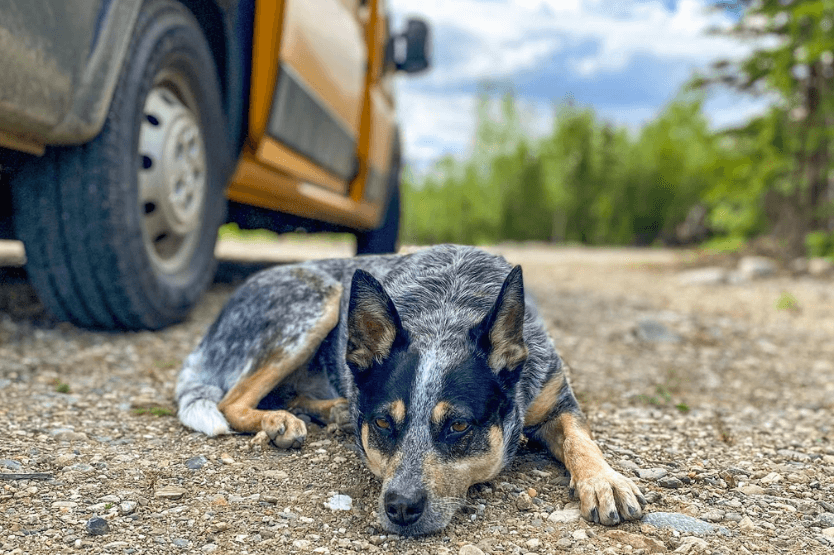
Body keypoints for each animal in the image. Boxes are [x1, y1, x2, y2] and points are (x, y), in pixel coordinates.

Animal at [176, 245, 644, 536]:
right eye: (384, 423)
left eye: (458, 426)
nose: (400, 506)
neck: (448, 310)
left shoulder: (555, 398)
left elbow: (581, 439)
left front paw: (605, 480)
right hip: (318, 300)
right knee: (232, 401)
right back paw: (279, 421)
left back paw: (330, 410)